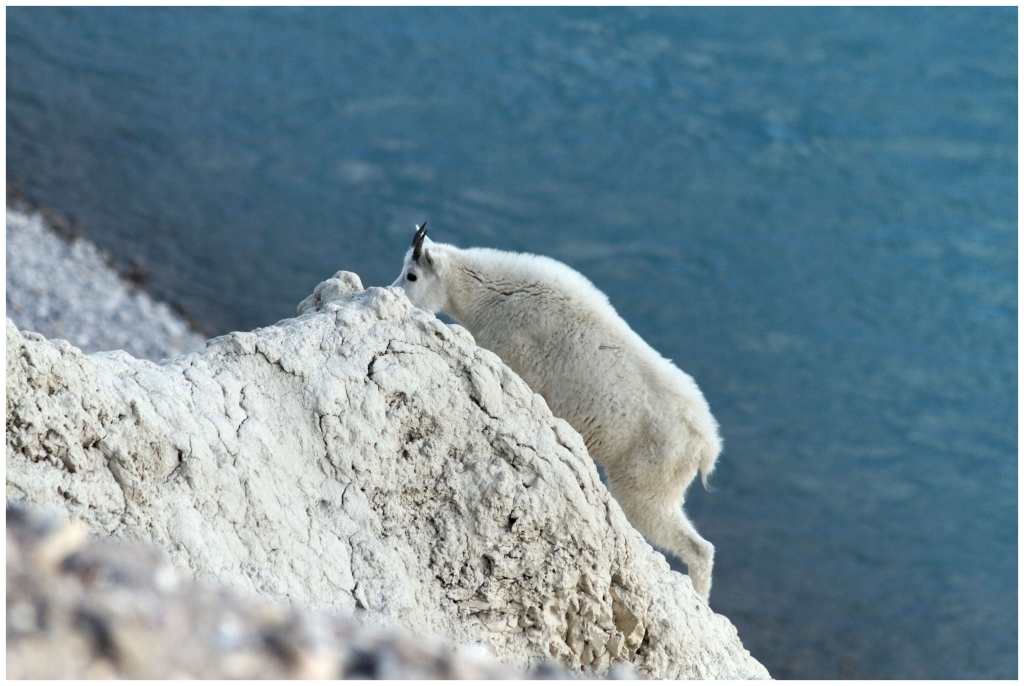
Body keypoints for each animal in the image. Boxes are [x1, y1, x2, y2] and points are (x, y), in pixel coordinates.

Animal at [391, 224, 722, 602]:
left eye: (412, 275)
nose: (395, 292)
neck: (488, 294)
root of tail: (706, 446)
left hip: (647, 489)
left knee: (698, 548)